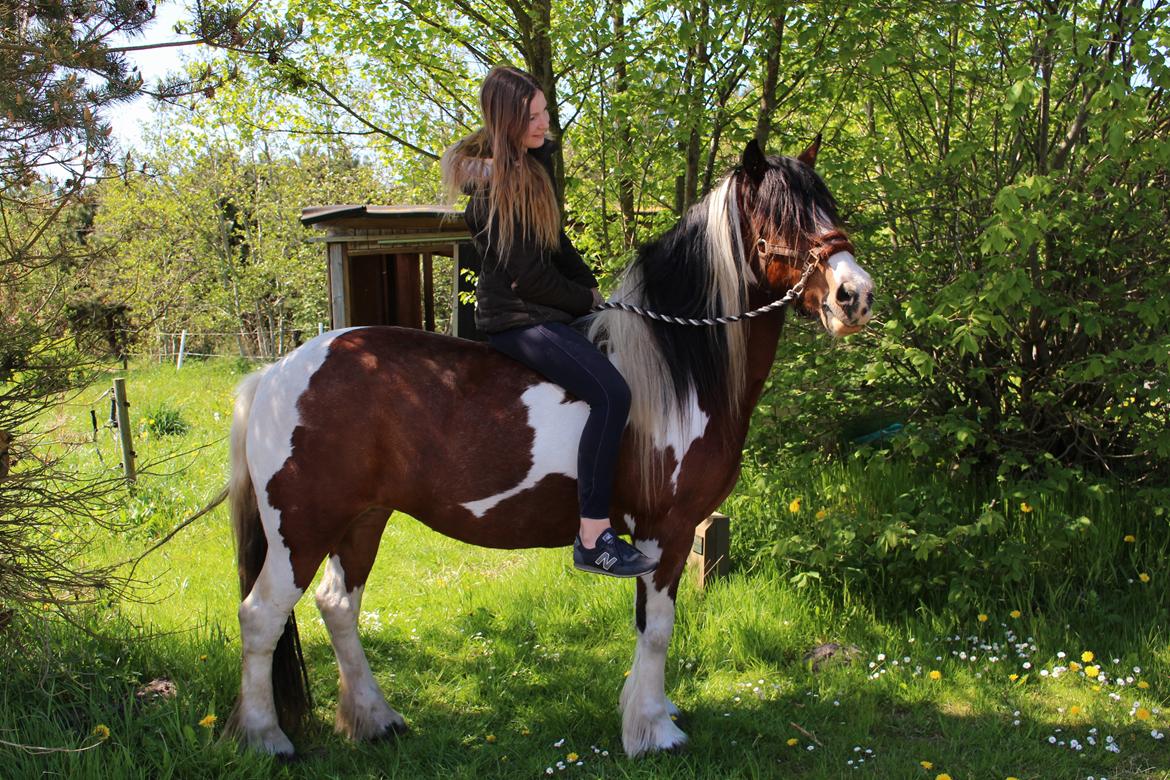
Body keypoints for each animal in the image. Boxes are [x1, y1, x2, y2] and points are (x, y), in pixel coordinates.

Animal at [223, 137, 875, 757]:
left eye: (829, 206)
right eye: (783, 216)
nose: (855, 295)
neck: (677, 369)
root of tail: (277, 373)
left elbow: (646, 626)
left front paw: (649, 712)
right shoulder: (666, 531)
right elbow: (657, 629)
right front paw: (653, 730)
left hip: (362, 519)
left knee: (338, 606)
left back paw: (375, 719)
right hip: (303, 529)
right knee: (260, 617)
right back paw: (266, 737)